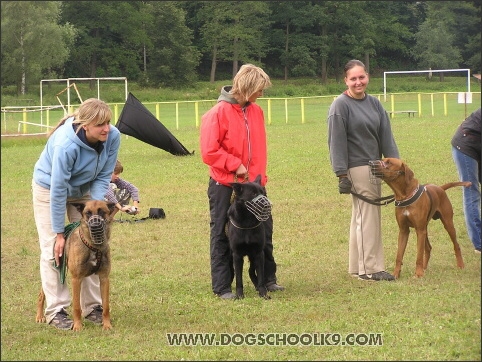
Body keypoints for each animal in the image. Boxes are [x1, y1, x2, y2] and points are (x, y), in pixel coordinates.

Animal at [35, 201, 116, 330]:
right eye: (87, 213)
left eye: (102, 211)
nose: (95, 226)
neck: (94, 247)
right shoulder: (76, 279)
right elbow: (77, 307)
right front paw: (77, 326)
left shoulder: (104, 279)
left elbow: (106, 306)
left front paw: (107, 324)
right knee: (42, 294)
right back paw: (39, 316)